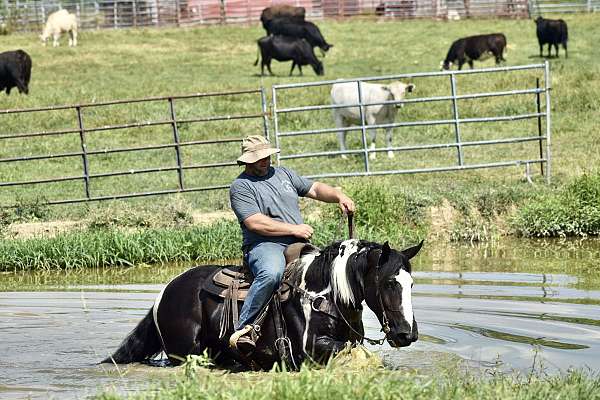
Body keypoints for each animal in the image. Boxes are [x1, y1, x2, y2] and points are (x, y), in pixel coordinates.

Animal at [103, 239, 422, 370]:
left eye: (411, 284)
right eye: (389, 282)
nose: (406, 334)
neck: (325, 295)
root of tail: (166, 291)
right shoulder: (310, 349)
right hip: (186, 353)